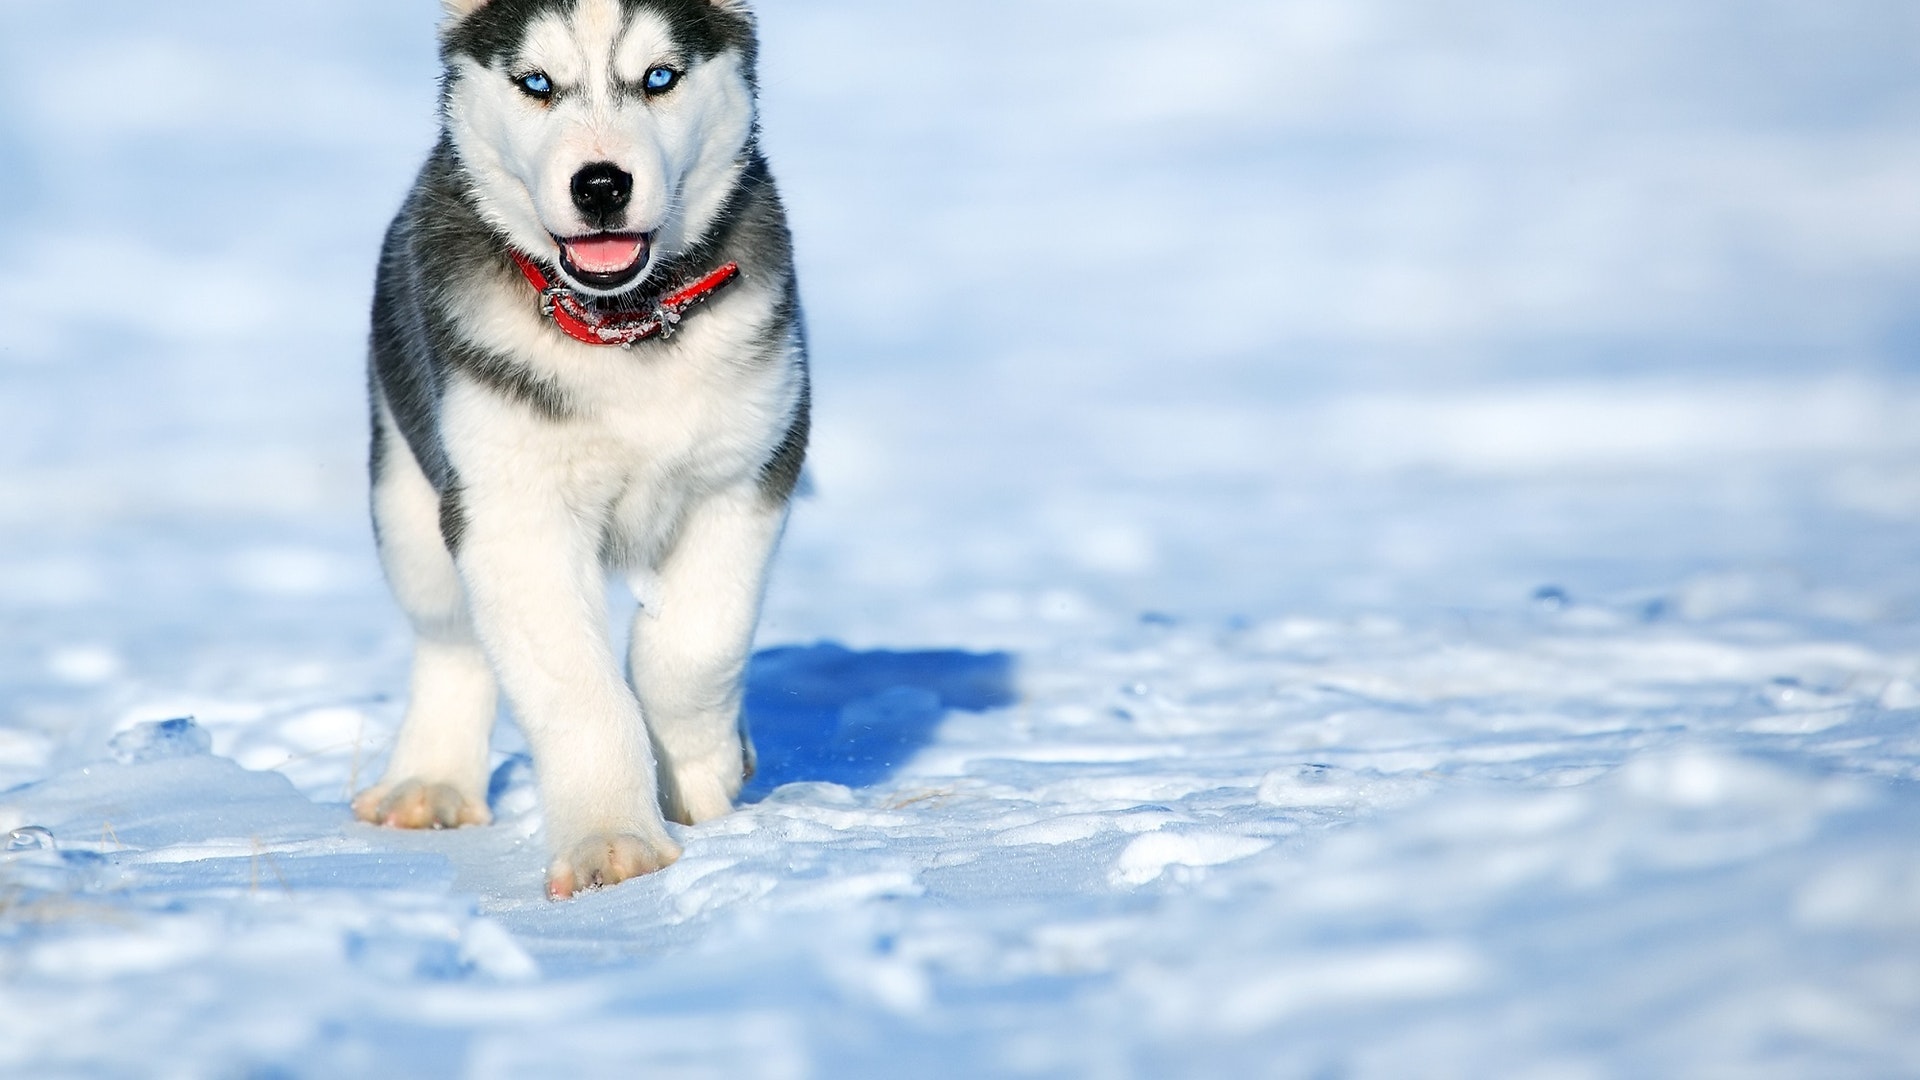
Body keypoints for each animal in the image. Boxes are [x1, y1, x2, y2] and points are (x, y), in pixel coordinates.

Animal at [349, 0, 806, 895]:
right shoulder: (510, 511)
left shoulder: (748, 468)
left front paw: (699, 773)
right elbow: (576, 688)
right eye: (537, 83)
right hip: (408, 492)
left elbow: (696, 647)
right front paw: (611, 839)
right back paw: (430, 780)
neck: (623, 326)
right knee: (450, 637)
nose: (600, 184)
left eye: (659, 76)